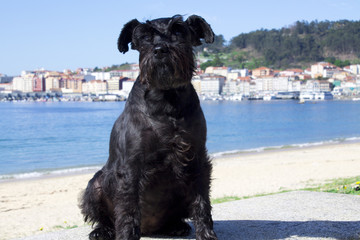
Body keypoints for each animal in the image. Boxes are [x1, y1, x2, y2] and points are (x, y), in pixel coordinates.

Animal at [80, 14, 217, 240]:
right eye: (144, 36)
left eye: (179, 30)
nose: (160, 50)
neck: (166, 98)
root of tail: (150, 229)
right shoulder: (131, 165)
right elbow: (128, 209)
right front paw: (126, 235)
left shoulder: (196, 159)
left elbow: (202, 202)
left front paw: (206, 235)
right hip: (95, 186)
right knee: (106, 217)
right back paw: (102, 231)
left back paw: (175, 226)